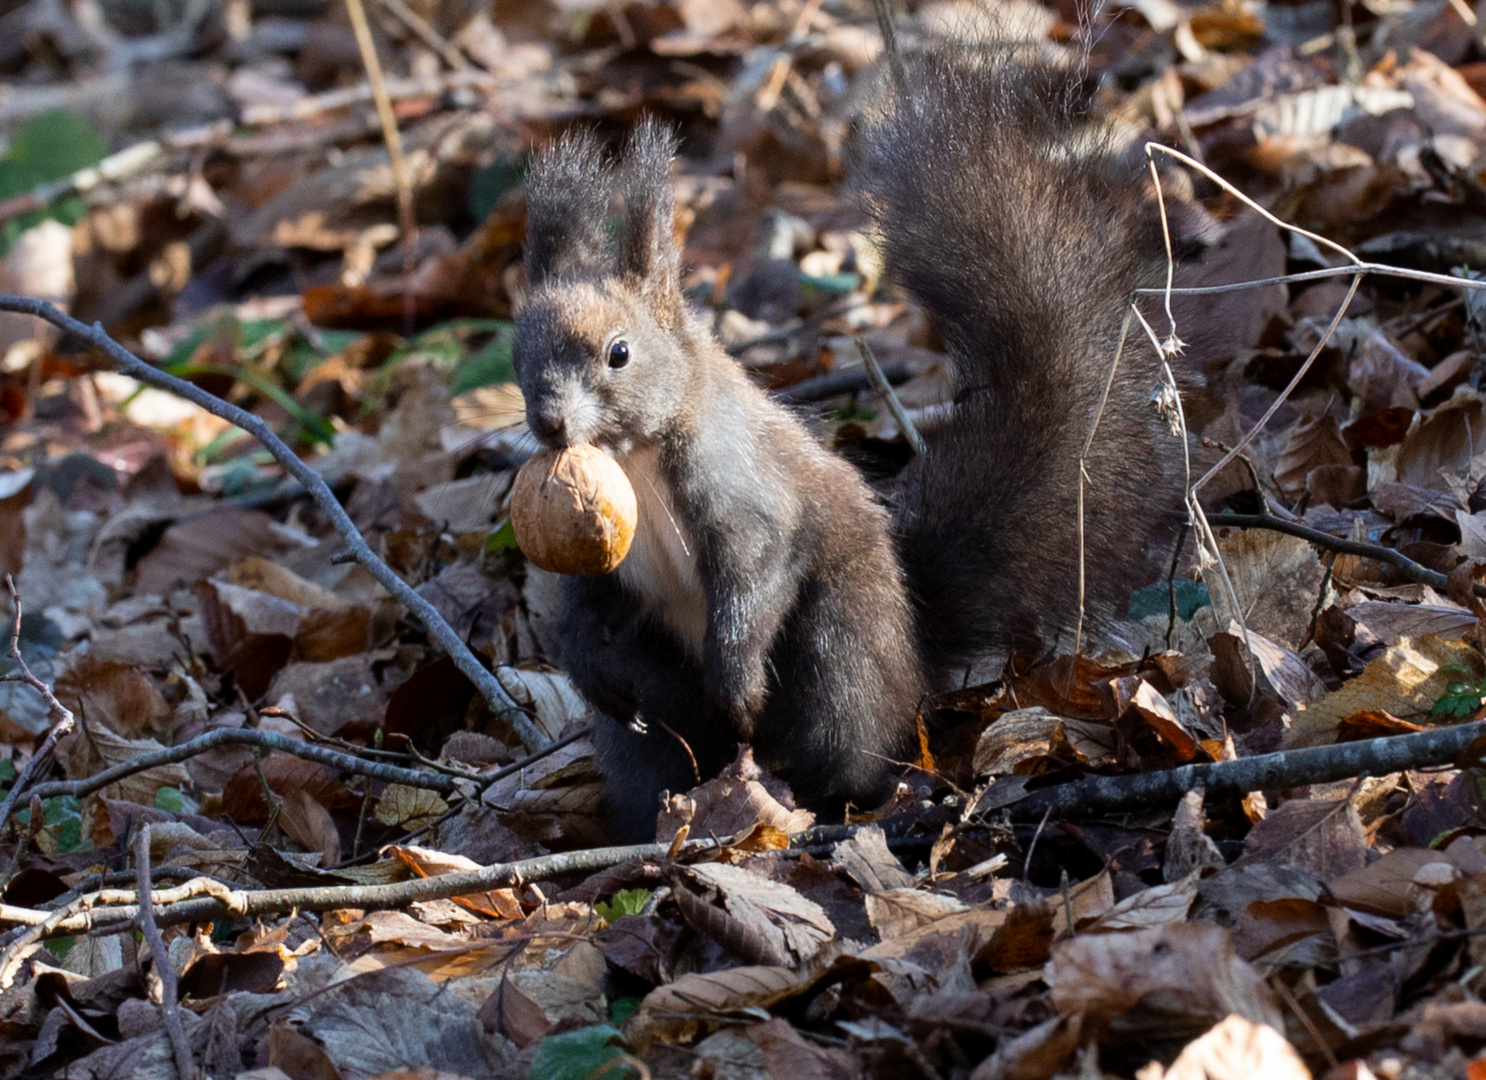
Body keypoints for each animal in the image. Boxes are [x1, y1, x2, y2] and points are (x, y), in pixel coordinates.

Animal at [511, 44, 1182, 843]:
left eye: (619, 353)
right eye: (519, 354)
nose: (550, 423)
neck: (636, 456)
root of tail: (915, 668)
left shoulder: (746, 494)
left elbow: (757, 571)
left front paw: (736, 679)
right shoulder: (601, 557)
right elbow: (584, 608)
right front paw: (589, 669)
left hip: (840, 651)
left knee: (848, 742)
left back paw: (832, 802)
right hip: (661, 690)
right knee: (658, 750)